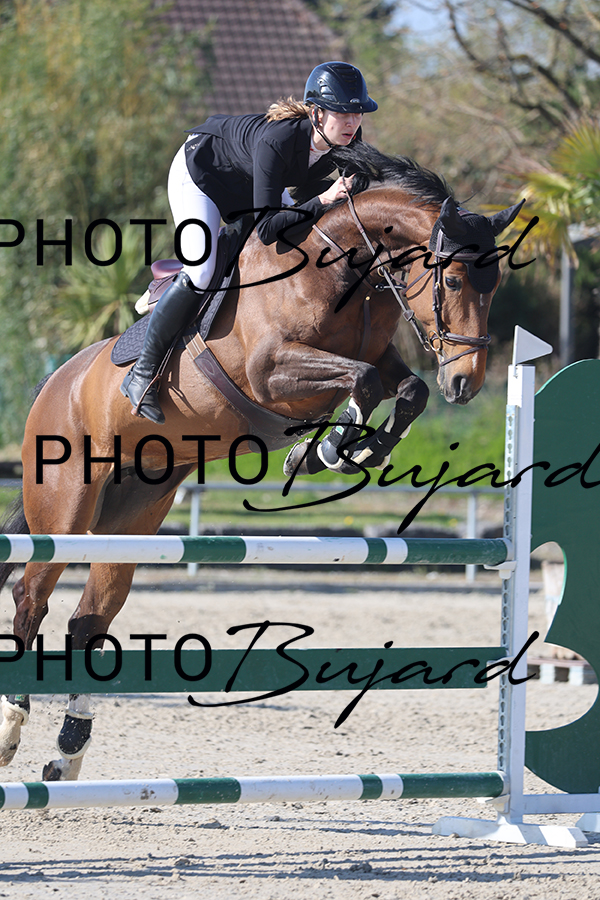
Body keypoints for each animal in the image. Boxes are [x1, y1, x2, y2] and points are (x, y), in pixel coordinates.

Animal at [0, 142, 524, 780]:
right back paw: (13, 724)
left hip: (133, 515)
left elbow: (405, 390)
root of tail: (53, 384)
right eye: (450, 276)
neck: (339, 272)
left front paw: (344, 450)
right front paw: (322, 449)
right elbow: (365, 382)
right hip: (67, 506)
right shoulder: (272, 371)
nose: (465, 383)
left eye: (496, 285)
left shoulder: (375, 357)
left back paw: (69, 750)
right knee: (32, 596)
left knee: (90, 619)